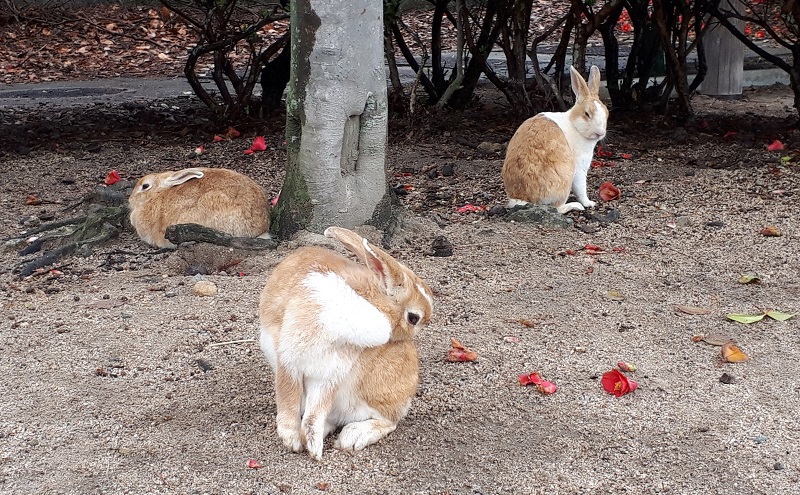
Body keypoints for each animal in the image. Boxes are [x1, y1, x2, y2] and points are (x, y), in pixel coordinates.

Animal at [258, 228, 432, 462]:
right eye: (414, 318)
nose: (410, 338)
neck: (370, 301)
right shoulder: (290, 361)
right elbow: (288, 402)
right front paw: (293, 440)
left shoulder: (330, 374)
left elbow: (314, 414)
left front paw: (314, 449)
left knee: (388, 421)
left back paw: (353, 437)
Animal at [504, 64, 608, 213]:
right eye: (587, 114)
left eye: (606, 112)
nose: (600, 133)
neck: (575, 125)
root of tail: (522, 199)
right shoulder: (579, 169)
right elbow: (581, 189)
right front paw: (589, 203)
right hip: (564, 180)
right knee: (557, 208)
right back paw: (575, 206)